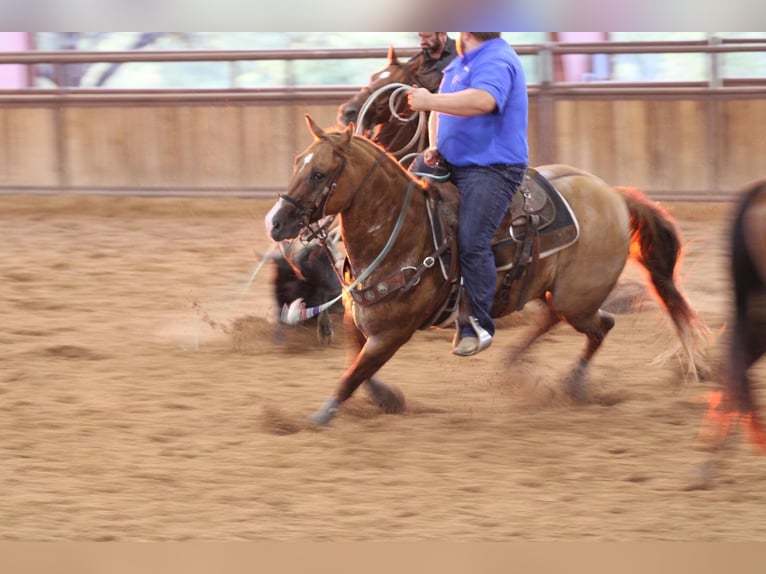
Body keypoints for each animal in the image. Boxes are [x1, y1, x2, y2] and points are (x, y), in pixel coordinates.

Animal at [268, 116, 712, 428]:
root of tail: (615, 196)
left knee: (601, 325)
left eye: (319, 173)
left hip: (577, 297)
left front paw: (320, 415)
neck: (404, 229)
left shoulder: (393, 333)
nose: (275, 222)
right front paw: (386, 399)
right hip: (550, 290)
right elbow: (356, 365)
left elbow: (354, 373)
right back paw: (515, 362)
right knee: (560, 318)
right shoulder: (358, 322)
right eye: (296, 162)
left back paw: (573, 382)